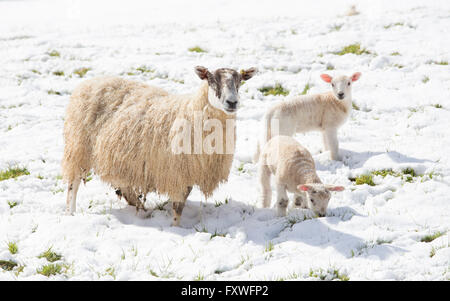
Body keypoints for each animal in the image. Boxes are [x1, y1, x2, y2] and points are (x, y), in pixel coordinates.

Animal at [61, 65, 256, 225]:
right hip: (79, 147)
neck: (192, 111)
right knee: (73, 184)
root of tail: (90, 82)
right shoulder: (178, 172)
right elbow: (178, 207)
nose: (232, 102)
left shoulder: (187, 172)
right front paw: (176, 228)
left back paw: (141, 209)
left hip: (120, 158)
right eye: (212, 80)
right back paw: (70, 213)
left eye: (239, 81)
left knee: (124, 186)